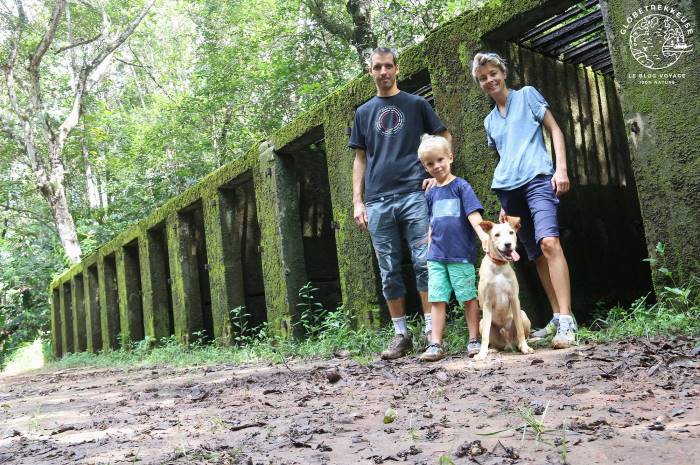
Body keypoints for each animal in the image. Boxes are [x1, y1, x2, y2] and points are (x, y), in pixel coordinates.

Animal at [476, 216, 536, 360]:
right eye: (496, 235)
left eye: (511, 232)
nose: (508, 244)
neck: (499, 267)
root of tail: (508, 344)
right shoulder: (487, 303)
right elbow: (485, 335)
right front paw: (481, 354)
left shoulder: (514, 298)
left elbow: (520, 329)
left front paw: (525, 347)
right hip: (481, 322)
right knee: (492, 340)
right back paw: (491, 350)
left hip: (523, 315)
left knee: (521, 334)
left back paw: (520, 345)